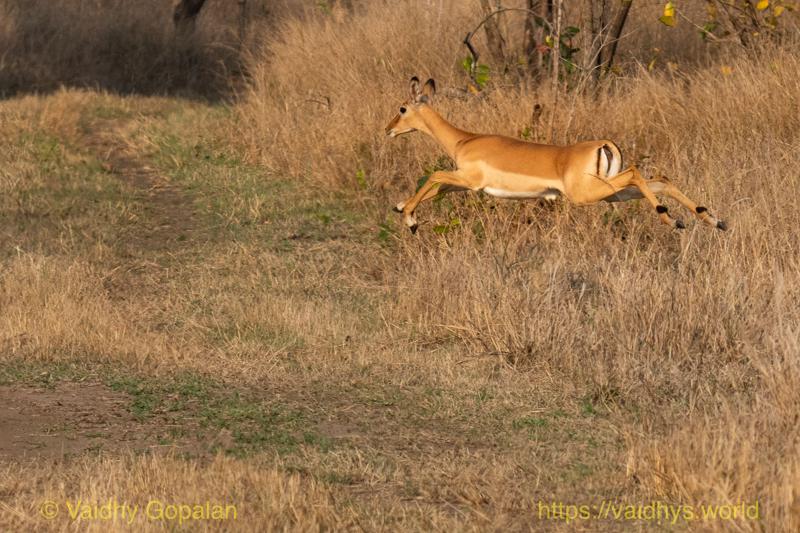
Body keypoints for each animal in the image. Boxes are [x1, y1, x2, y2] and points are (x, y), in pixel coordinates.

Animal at [385, 76, 726, 234]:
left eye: (401, 108)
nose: (388, 129)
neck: (464, 140)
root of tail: (604, 144)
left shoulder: (469, 180)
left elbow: (434, 176)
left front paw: (410, 219)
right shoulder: (464, 184)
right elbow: (437, 188)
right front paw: (402, 208)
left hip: (588, 193)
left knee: (638, 173)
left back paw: (671, 219)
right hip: (610, 192)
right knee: (661, 179)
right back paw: (711, 220)